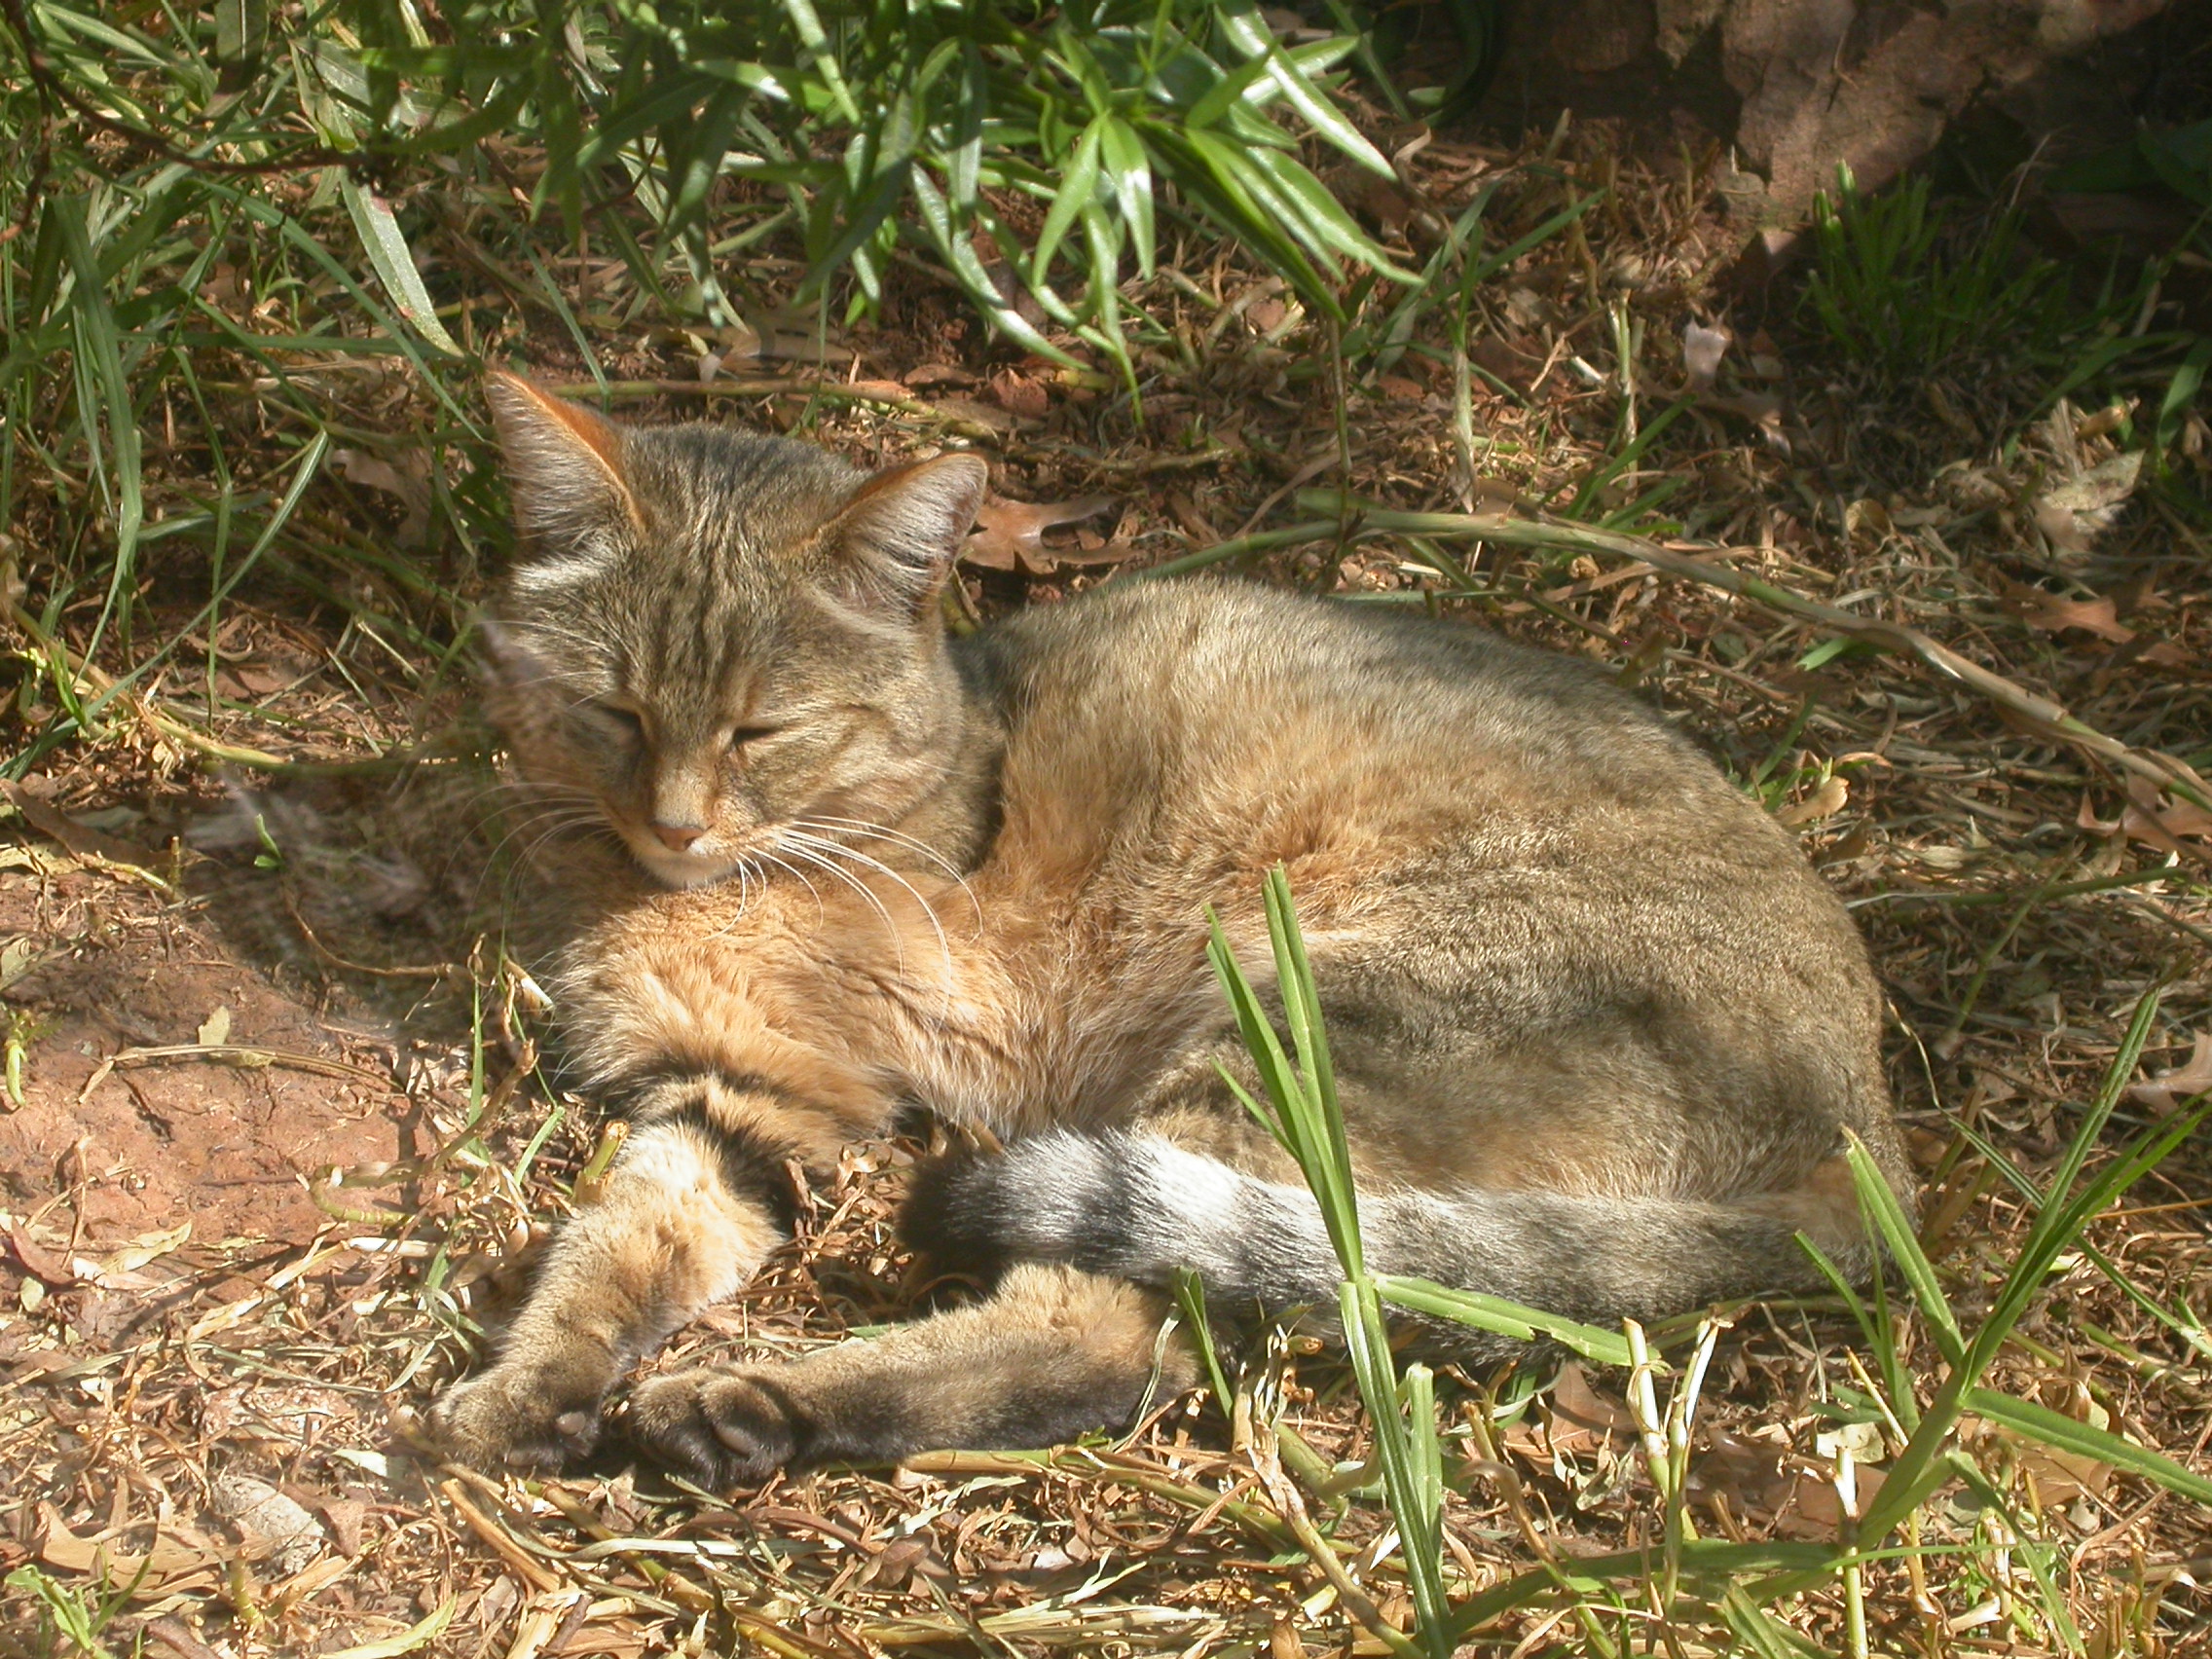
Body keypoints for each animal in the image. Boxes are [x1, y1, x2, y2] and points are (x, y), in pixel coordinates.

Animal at [426, 369, 1901, 1486]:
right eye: (615, 711)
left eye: (759, 730)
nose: (675, 823)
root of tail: (1869, 1140)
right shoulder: (741, 1091)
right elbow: (616, 1241)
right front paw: (526, 1385)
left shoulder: (839, 1072)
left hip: (1295, 1024)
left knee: (1113, 1325)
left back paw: (754, 1405)